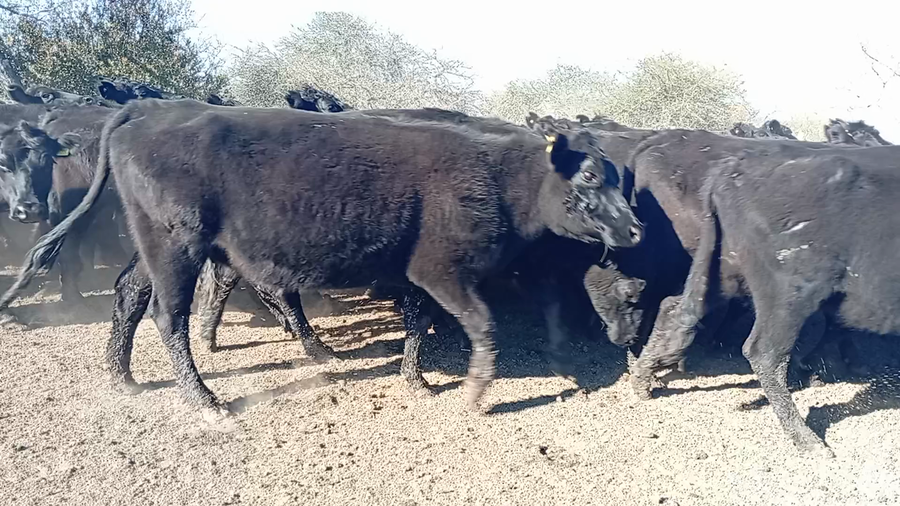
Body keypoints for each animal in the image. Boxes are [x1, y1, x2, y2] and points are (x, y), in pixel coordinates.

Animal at [4, 99, 641, 419]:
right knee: (169, 314)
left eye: (618, 176)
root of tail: (144, 115)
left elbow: (418, 324)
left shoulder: (414, 273)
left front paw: (416, 381)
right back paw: (206, 401)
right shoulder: (443, 271)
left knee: (130, 292)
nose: (634, 229)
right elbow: (479, 326)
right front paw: (477, 390)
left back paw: (123, 376)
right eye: (590, 177)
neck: (498, 174)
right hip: (178, 244)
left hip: (158, 245)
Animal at [636, 144, 900, 456]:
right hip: (789, 296)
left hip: (723, 274)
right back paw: (809, 441)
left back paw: (642, 379)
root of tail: (734, 170)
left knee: (677, 310)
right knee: (764, 353)